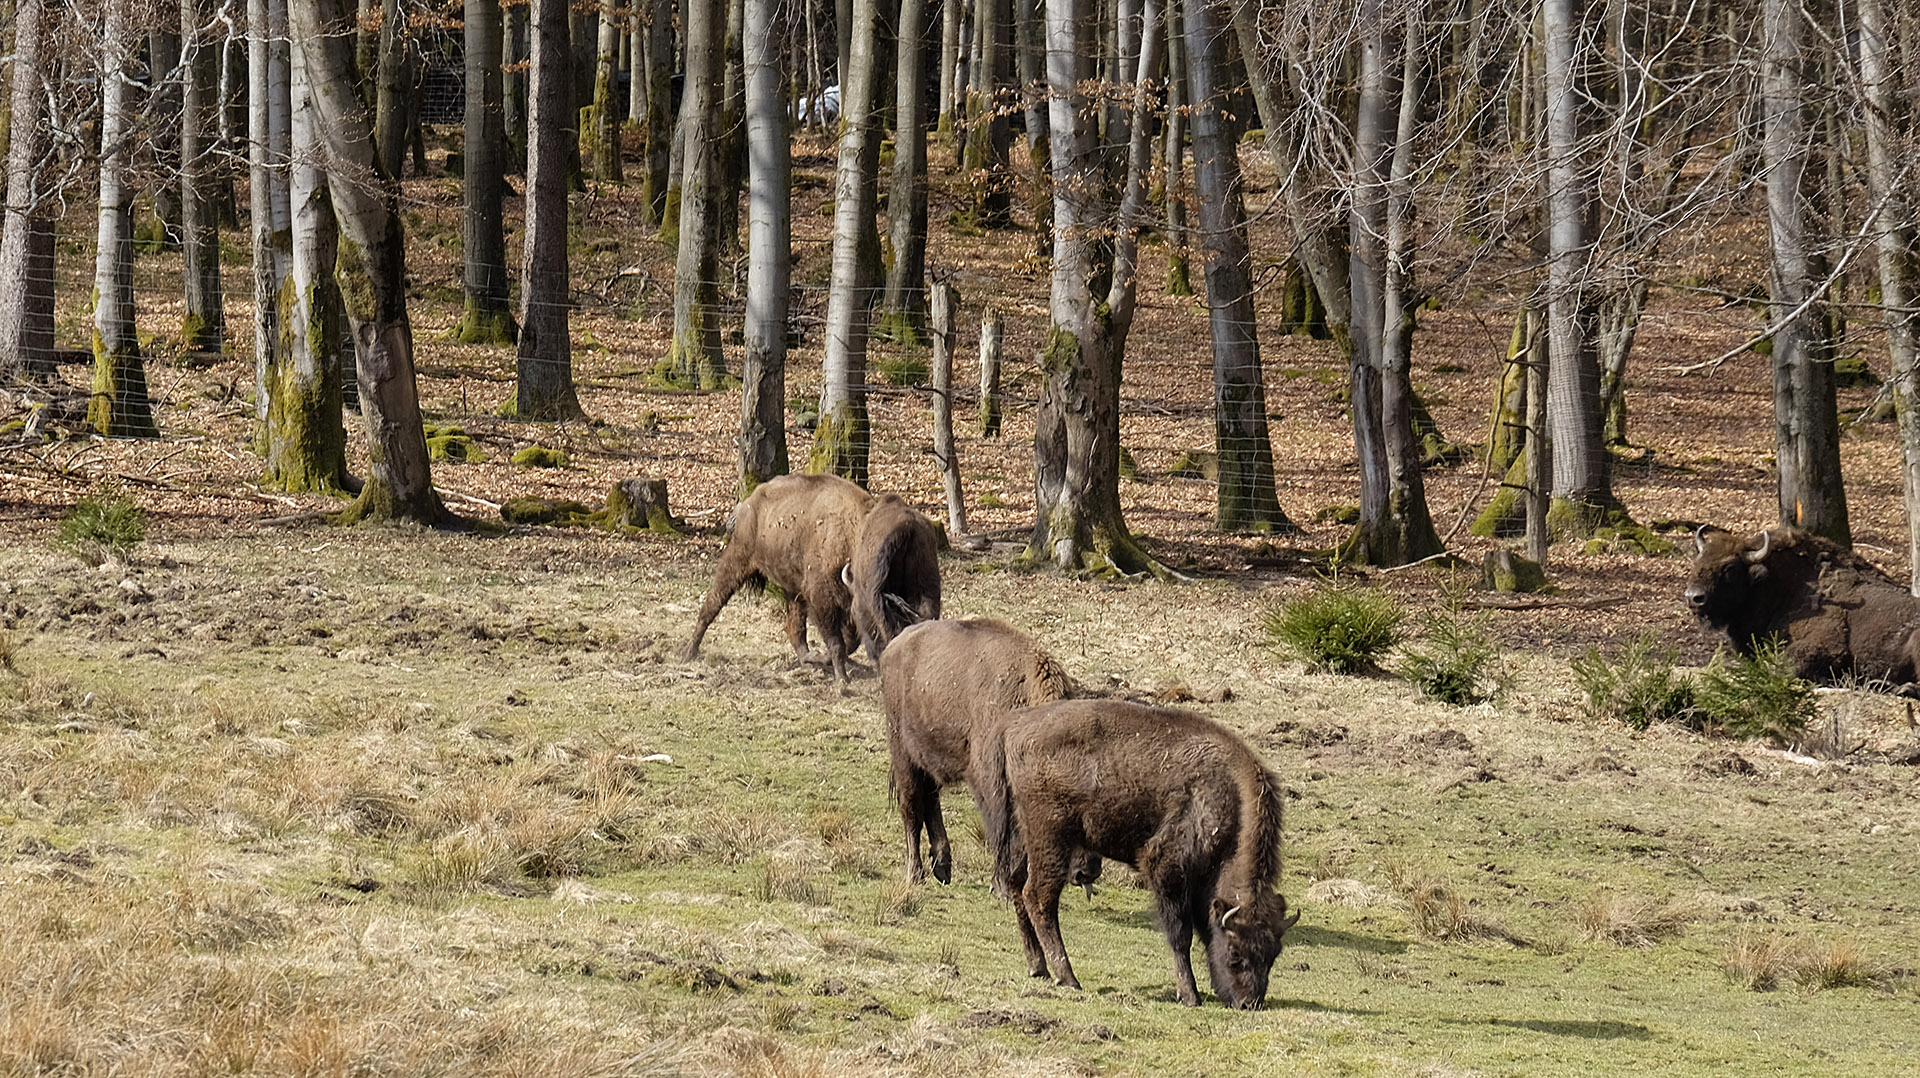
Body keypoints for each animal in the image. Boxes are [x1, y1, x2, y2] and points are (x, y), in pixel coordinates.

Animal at [879, 618, 1098, 887]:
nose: (1088, 871)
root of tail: (893, 646)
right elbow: (1003, 829)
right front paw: (1003, 882)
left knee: (930, 801)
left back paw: (943, 868)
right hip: (903, 755)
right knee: (912, 807)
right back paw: (915, 875)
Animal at [975, 699, 1305, 1006]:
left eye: (1273, 954)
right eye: (1235, 954)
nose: (1250, 1003)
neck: (1231, 799)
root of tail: (1012, 726)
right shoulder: (1167, 868)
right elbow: (1181, 935)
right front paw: (1189, 995)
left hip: (1023, 838)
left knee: (1017, 887)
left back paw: (1038, 967)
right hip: (1052, 839)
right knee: (1038, 897)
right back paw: (1067, 977)